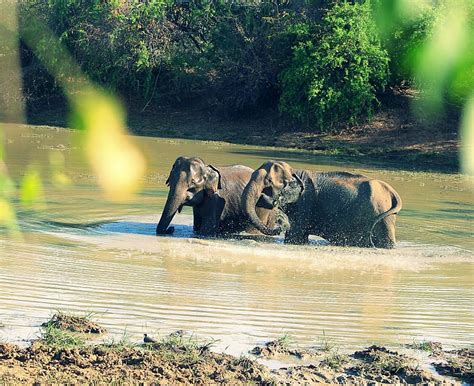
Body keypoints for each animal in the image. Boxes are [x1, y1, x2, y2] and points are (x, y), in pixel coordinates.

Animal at [243, 159, 402, 247]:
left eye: (268, 181)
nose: (280, 225)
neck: (295, 171)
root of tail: (392, 192)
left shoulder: (305, 203)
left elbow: (295, 237)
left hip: (382, 215)